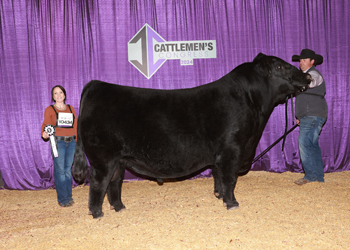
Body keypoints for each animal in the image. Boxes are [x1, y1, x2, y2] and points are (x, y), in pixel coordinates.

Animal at [73, 53, 308, 219]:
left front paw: (219, 196)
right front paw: (232, 203)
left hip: (119, 160)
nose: (306, 76)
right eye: (280, 66)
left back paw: (120, 208)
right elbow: (230, 178)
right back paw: (97, 213)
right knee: (99, 183)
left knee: (114, 183)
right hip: (103, 158)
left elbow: (218, 176)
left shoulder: (220, 155)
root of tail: (97, 84)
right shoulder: (233, 150)